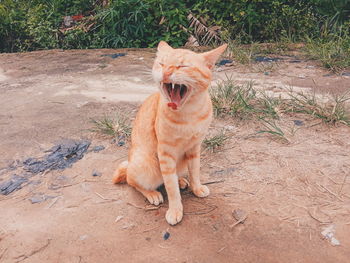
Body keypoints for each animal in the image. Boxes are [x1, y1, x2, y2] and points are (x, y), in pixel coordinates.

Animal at [113, 41, 227, 225]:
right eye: (162, 64)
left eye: (183, 66)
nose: (166, 72)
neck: (189, 114)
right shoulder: (166, 154)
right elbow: (171, 188)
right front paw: (175, 210)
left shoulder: (195, 148)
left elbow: (195, 172)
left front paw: (196, 188)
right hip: (145, 165)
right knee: (133, 181)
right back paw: (152, 193)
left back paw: (181, 180)